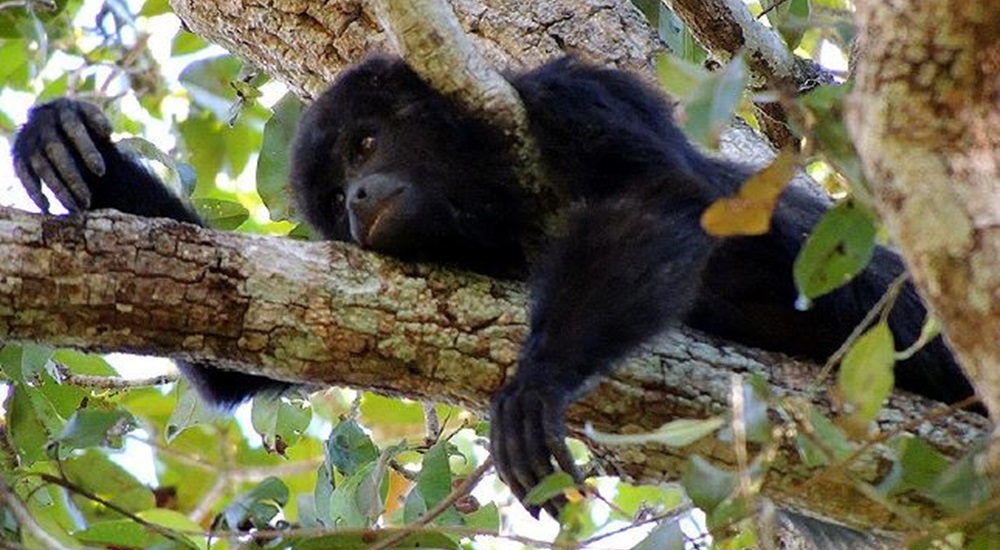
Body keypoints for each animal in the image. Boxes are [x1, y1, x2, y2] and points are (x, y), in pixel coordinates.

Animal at [11, 56, 972, 520]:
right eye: (331, 194)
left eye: (365, 144)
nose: (357, 199)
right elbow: (231, 351)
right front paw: (61, 141)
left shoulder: (571, 93)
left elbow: (657, 200)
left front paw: (536, 383)